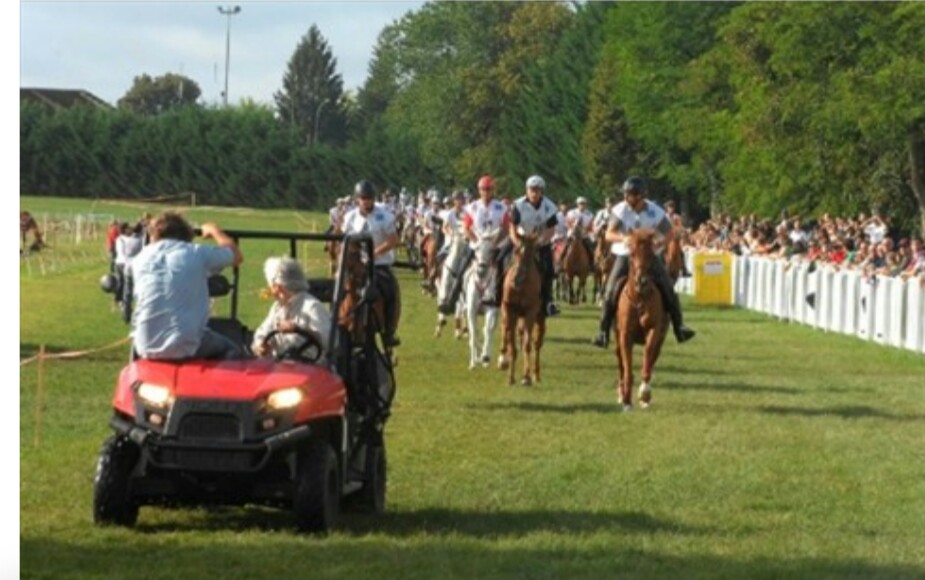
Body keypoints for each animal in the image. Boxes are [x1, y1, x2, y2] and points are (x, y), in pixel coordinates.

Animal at [462, 233, 498, 370]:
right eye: (476, 249)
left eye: (491, 250)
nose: (482, 268)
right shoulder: (471, 311)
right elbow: (473, 333)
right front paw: (473, 362)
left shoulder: (491, 310)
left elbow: (487, 329)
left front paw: (485, 357)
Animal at [502, 231, 544, 386]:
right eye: (515, 251)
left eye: (531, 253)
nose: (517, 280)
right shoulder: (510, 311)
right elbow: (512, 345)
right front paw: (510, 377)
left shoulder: (530, 312)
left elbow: (527, 345)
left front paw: (526, 377)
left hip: (539, 318)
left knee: (537, 344)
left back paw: (536, 374)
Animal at [616, 229, 668, 410]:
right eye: (631, 254)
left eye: (651, 255)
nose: (642, 282)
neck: (639, 299)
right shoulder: (625, 335)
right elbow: (627, 367)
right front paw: (626, 401)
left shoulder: (653, 331)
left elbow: (648, 360)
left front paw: (644, 394)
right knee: (620, 362)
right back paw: (621, 392)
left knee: (652, 358)